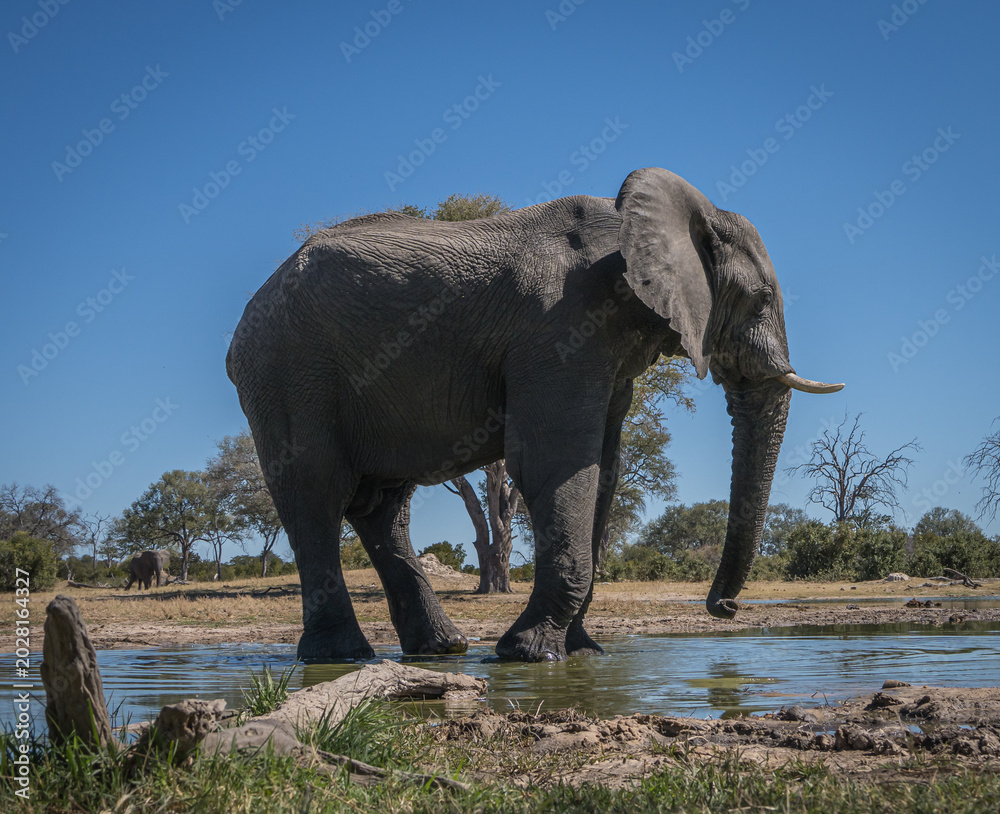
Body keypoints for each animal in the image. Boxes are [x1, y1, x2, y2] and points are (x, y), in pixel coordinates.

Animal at [226, 167, 842, 662]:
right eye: (762, 300)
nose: (724, 609)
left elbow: (604, 472)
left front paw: (581, 652)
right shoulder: (560, 331)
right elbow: (556, 463)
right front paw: (528, 653)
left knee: (383, 508)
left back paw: (442, 649)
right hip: (289, 371)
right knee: (315, 493)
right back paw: (341, 656)